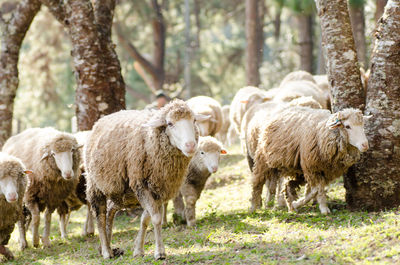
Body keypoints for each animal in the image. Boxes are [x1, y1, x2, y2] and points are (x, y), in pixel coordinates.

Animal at [86, 98, 208, 258]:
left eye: (193, 120)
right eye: (170, 123)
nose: (191, 145)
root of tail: (100, 121)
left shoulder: (159, 191)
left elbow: (146, 218)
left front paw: (138, 250)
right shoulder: (141, 186)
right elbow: (155, 218)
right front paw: (160, 252)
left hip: (121, 193)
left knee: (110, 210)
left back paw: (108, 246)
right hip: (95, 186)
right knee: (100, 216)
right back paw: (106, 252)